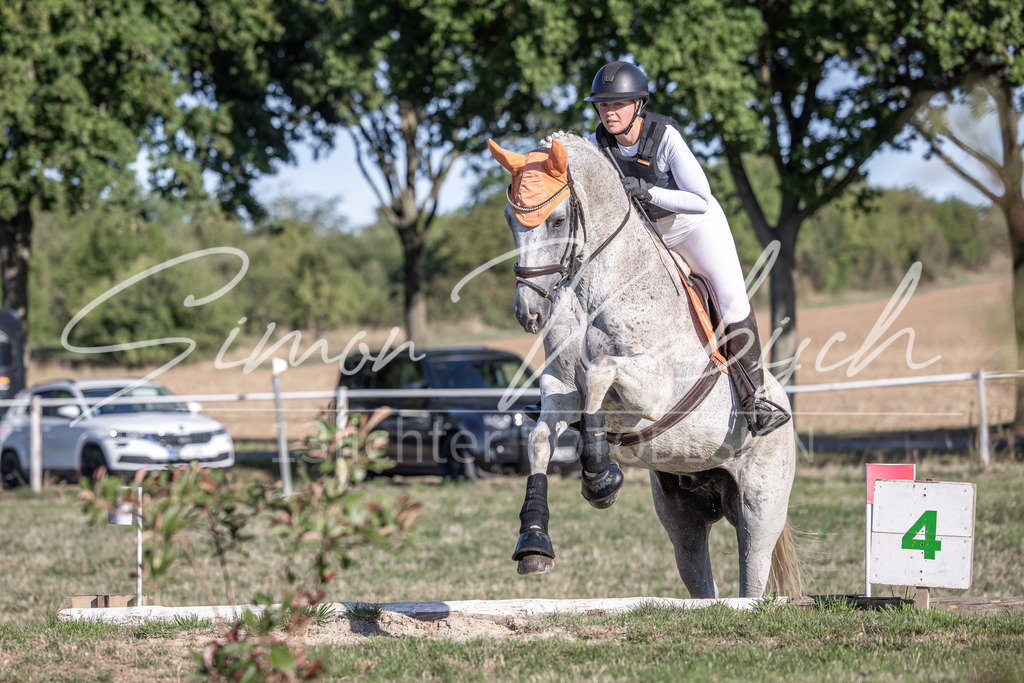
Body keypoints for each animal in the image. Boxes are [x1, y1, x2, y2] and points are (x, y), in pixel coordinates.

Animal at [488, 132, 799, 599]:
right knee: (701, 579)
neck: (593, 291)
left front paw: (600, 478)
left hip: (760, 510)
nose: (529, 313)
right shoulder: (559, 388)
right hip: (682, 517)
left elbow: (600, 374)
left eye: (558, 222)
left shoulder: (653, 391)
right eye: (510, 219)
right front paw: (534, 544)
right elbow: (541, 439)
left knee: (752, 576)